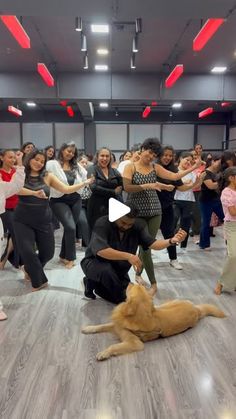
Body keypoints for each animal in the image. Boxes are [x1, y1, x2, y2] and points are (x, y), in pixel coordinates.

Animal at [81, 282, 225, 360]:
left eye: (132, 289)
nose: (130, 282)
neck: (137, 316)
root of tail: (196, 309)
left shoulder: (135, 343)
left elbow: (114, 346)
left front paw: (104, 353)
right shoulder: (117, 325)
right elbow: (101, 325)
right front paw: (88, 328)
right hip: (166, 305)